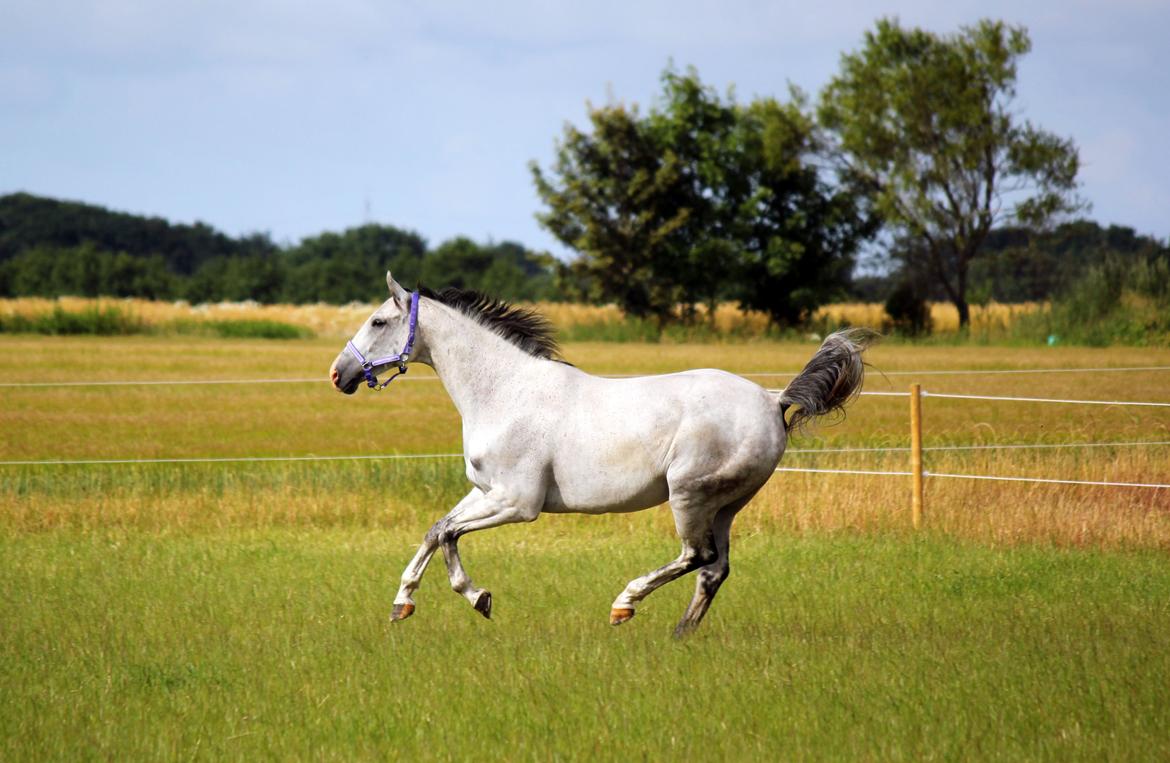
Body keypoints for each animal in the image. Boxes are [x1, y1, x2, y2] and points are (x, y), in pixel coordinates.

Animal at [329, 271, 870, 636]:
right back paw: (680, 635)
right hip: (726, 505)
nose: (338, 374)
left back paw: (624, 605)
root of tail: (773, 399)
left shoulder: (517, 503)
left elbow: (447, 535)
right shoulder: (485, 490)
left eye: (378, 321)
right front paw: (402, 604)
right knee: (714, 569)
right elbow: (435, 529)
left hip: (689, 495)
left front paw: (478, 597)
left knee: (697, 556)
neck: (503, 392)